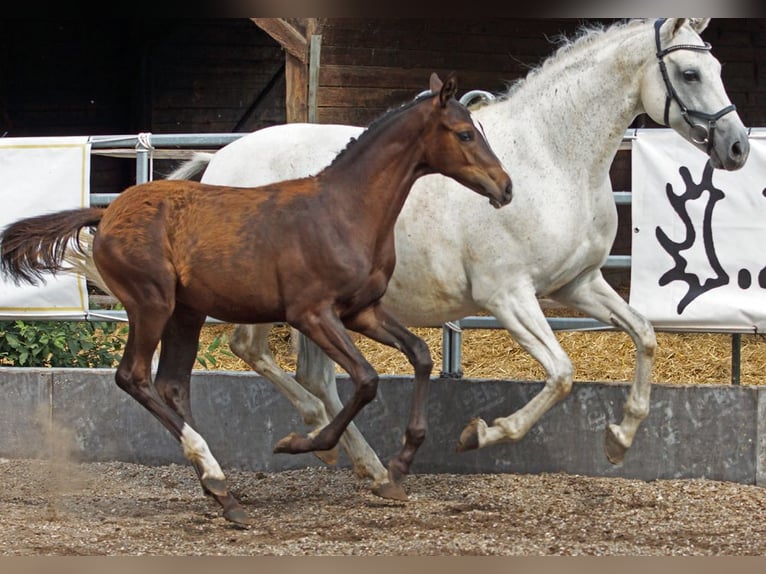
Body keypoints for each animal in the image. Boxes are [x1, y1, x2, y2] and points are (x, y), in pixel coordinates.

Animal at [0, 73, 513, 526]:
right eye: (465, 133)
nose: (505, 186)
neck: (344, 211)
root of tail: (104, 214)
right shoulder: (312, 313)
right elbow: (366, 380)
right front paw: (305, 444)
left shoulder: (361, 311)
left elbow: (421, 354)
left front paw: (398, 466)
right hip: (151, 304)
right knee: (135, 377)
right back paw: (216, 478)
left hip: (187, 313)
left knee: (172, 385)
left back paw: (221, 492)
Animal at [67, 18, 751, 499]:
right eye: (691, 74)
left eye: (716, 68)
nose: (737, 146)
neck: (549, 158)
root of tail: (221, 160)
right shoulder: (510, 295)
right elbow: (560, 373)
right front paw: (482, 433)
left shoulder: (578, 285)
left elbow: (645, 336)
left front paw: (619, 440)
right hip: (266, 300)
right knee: (254, 354)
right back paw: (325, 444)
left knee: (309, 375)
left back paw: (358, 461)